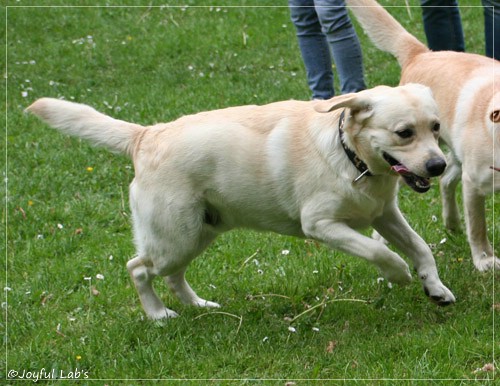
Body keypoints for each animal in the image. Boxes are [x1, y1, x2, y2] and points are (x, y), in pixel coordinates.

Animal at [348, 0, 500, 270]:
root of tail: (421, 53)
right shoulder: (474, 184)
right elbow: (478, 227)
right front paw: (485, 260)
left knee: (446, 178)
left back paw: (452, 223)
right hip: (407, 161)